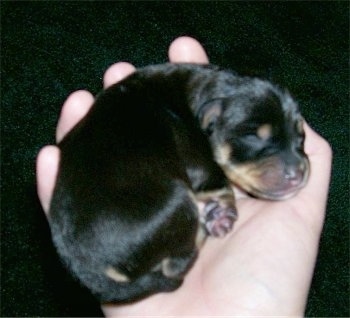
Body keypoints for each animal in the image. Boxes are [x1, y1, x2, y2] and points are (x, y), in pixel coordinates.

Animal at [48, 62, 308, 304]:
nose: (299, 172)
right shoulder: (196, 157)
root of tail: (95, 272)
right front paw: (223, 211)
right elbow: (218, 181)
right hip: (179, 203)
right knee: (175, 265)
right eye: (254, 137)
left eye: (301, 136)